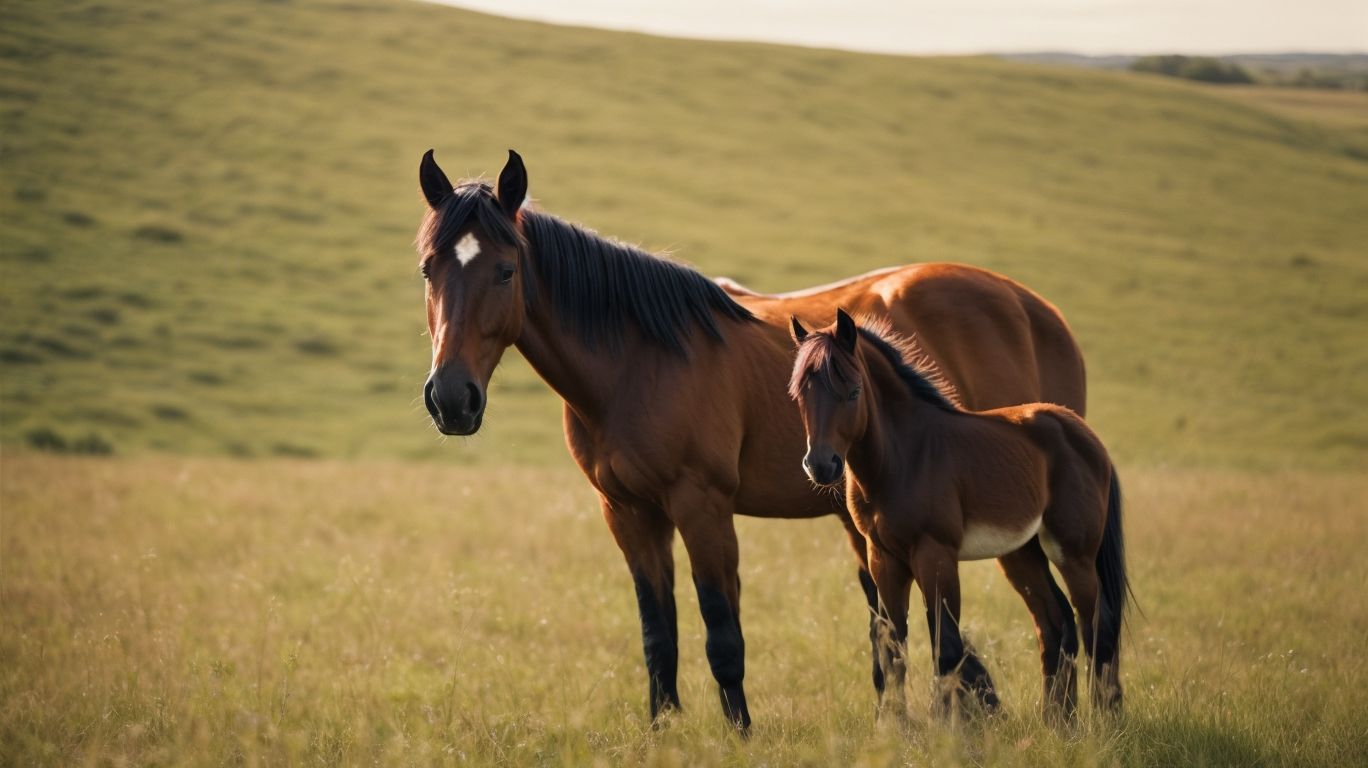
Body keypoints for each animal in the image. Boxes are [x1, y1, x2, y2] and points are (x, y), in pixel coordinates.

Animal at [414, 149, 1089, 732]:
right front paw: (664, 734)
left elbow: (722, 630)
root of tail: (1035, 310)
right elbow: (658, 632)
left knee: (1056, 618)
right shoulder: (627, 512)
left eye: (505, 270)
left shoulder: (703, 507)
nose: (451, 398)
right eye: (427, 269)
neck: (640, 360)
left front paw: (739, 733)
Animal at [788, 309, 1128, 721]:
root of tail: (1089, 438)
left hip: (1073, 554)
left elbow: (945, 646)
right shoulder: (883, 558)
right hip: (1021, 555)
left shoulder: (935, 555)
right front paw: (895, 726)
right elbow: (893, 647)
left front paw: (947, 726)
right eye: (801, 394)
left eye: (853, 391)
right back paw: (1058, 722)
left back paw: (1103, 720)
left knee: (1097, 626)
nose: (821, 466)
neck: (903, 457)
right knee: (1054, 625)